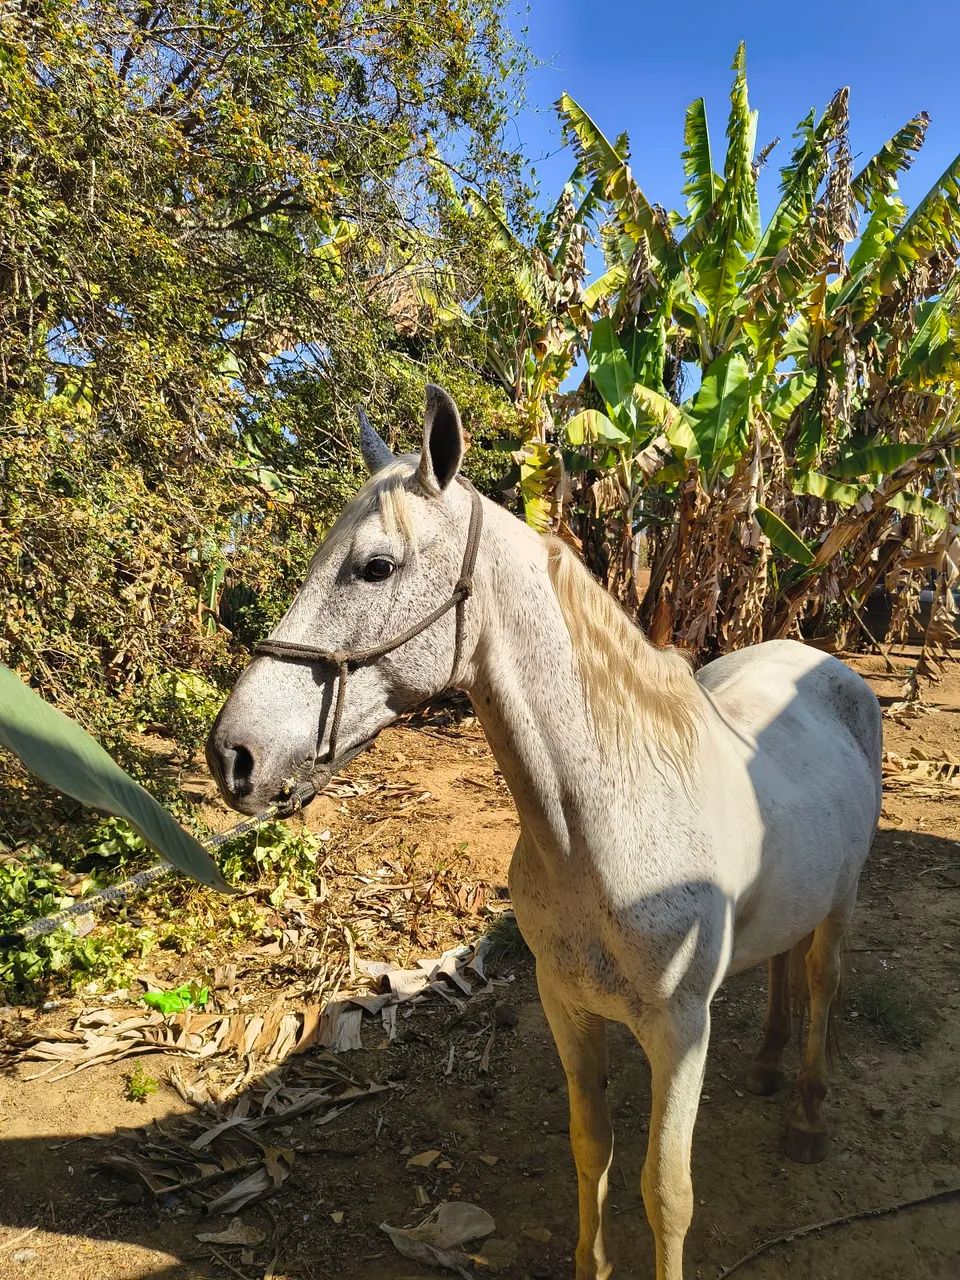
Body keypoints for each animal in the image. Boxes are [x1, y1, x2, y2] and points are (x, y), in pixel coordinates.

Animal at [207, 385, 883, 1280]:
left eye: (375, 566)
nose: (232, 754)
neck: (605, 830)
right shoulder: (567, 1008)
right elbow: (590, 1149)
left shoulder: (681, 1033)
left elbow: (666, 1192)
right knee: (780, 970)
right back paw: (771, 1067)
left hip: (840, 906)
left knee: (821, 982)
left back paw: (806, 1115)